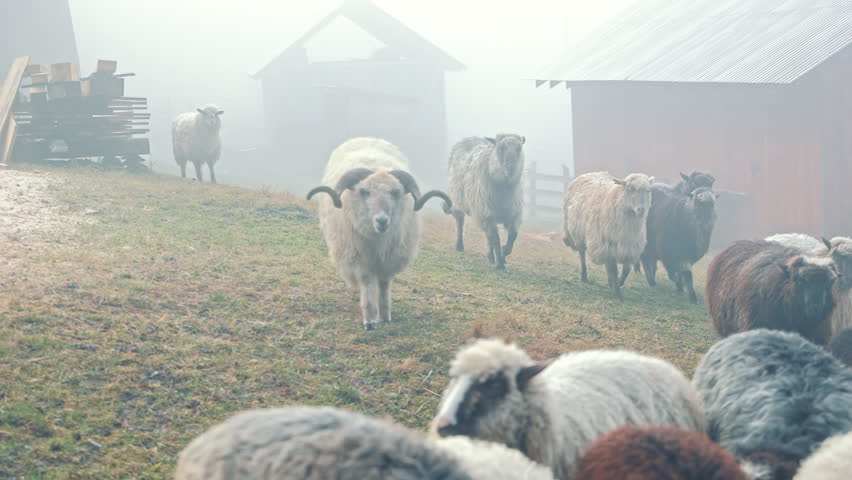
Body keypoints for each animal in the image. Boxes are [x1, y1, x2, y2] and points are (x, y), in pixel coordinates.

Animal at [306, 137, 450, 330]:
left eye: (396, 192)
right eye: (364, 191)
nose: (382, 221)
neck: (377, 240)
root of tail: (366, 137)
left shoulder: (388, 260)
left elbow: (383, 284)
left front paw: (385, 315)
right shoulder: (360, 260)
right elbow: (367, 284)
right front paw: (370, 320)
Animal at [447, 134, 525, 271]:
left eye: (519, 148)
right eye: (501, 148)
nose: (510, 169)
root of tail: (469, 137)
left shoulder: (513, 214)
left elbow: (512, 236)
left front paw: (504, 253)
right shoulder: (486, 212)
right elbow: (496, 238)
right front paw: (500, 265)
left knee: (488, 236)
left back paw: (491, 257)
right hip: (459, 202)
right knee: (460, 223)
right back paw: (460, 246)